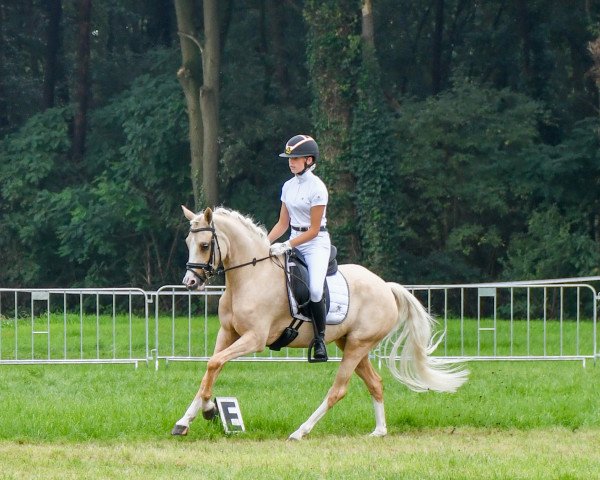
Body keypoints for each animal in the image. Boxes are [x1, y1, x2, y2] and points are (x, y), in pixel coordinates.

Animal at [171, 206, 466, 438]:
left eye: (205, 245)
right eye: (186, 242)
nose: (190, 282)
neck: (251, 276)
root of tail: (385, 286)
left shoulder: (254, 339)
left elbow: (214, 364)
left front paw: (209, 410)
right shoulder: (227, 334)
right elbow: (211, 368)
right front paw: (187, 420)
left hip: (357, 346)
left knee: (339, 389)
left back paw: (301, 431)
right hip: (352, 345)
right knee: (375, 382)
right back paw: (379, 431)